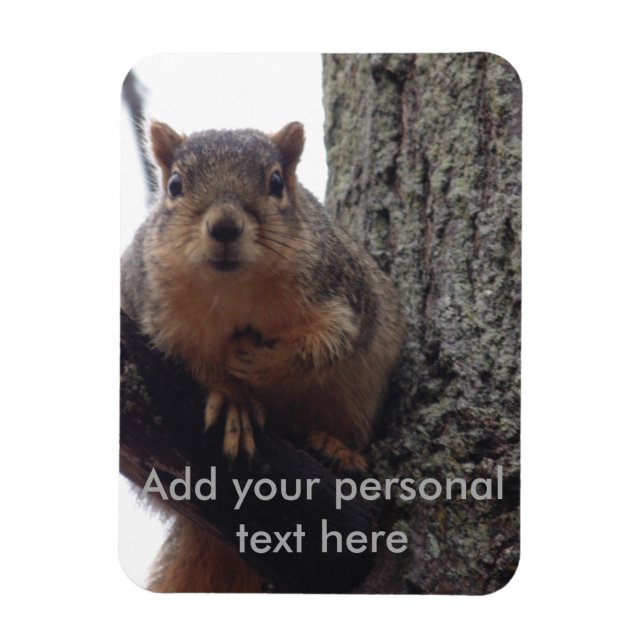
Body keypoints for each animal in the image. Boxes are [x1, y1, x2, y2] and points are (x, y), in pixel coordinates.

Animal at [121, 120, 405, 592]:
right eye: (174, 185)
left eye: (276, 183)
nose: (224, 226)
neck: (233, 290)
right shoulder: (158, 317)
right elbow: (196, 362)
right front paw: (234, 397)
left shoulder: (339, 295)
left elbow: (323, 345)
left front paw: (253, 364)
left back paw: (333, 447)